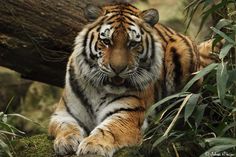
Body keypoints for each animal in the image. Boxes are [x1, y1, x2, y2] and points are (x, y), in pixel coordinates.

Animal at [48, 2, 221, 157]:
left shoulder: (127, 114)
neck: (99, 88)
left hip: (183, 53)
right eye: (106, 41)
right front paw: (66, 142)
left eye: (132, 43)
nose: (118, 68)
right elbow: (65, 126)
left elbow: (108, 129)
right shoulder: (63, 113)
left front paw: (93, 146)